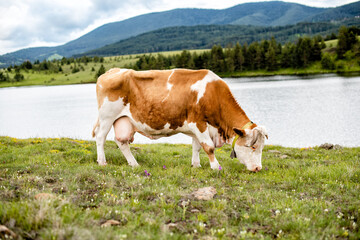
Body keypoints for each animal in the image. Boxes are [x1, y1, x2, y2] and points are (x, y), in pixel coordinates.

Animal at [93, 68, 268, 172]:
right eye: (253, 146)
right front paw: (216, 166)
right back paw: (102, 161)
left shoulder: (200, 127)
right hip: (107, 116)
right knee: (101, 137)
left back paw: (134, 164)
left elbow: (197, 146)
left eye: (261, 147)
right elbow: (209, 147)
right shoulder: (197, 122)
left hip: (123, 121)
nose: (258, 168)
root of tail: (111, 71)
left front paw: (196, 165)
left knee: (121, 141)